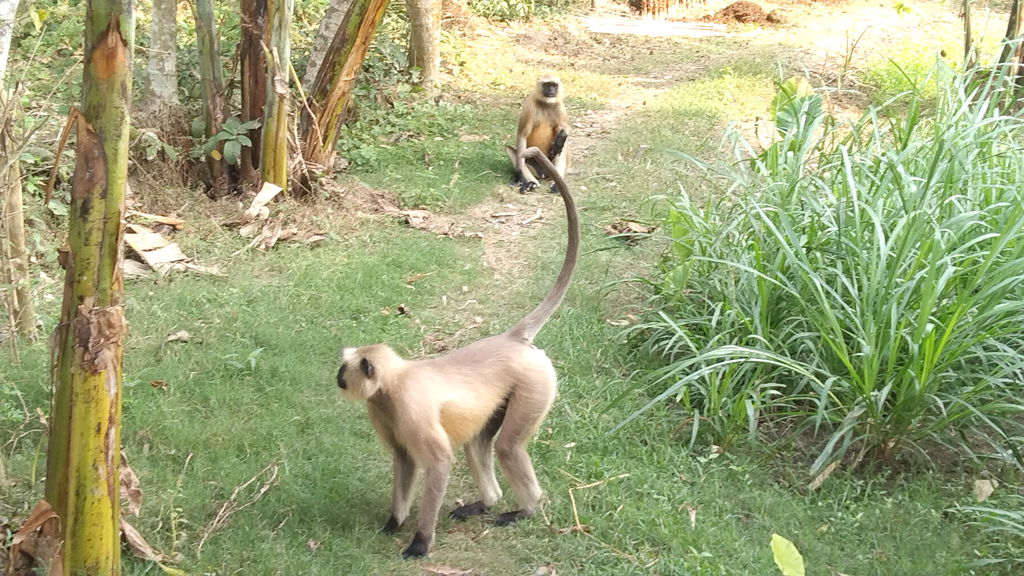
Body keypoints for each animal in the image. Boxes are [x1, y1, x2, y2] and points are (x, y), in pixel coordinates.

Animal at [333, 147, 577, 557]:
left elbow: (438, 462)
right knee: (479, 444)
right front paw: (394, 521)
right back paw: (487, 502)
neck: (393, 382)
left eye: (343, 371)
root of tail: (512, 338)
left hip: (535, 383)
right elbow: (403, 460)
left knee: (508, 446)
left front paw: (420, 542)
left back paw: (525, 510)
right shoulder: (381, 407)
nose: (336, 379)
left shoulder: (409, 405)